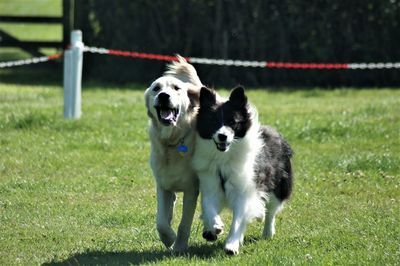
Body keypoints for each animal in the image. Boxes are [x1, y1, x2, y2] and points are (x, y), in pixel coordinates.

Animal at [145, 56, 203, 251]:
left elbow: (184, 223)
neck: (172, 143)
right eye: (156, 88)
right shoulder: (163, 185)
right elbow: (161, 222)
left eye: (177, 88)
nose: (164, 95)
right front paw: (168, 238)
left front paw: (179, 246)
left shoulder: (192, 189)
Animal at [192, 86, 292, 255]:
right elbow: (208, 206)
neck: (224, 158)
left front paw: (231, 245)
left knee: (271, 210)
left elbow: (238, 220)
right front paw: (214, 226)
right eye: (213, 121)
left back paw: (267, 232)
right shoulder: (211, 184)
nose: (222, 136)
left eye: (233, 122)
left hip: (279, 186)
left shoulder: (244, 191)